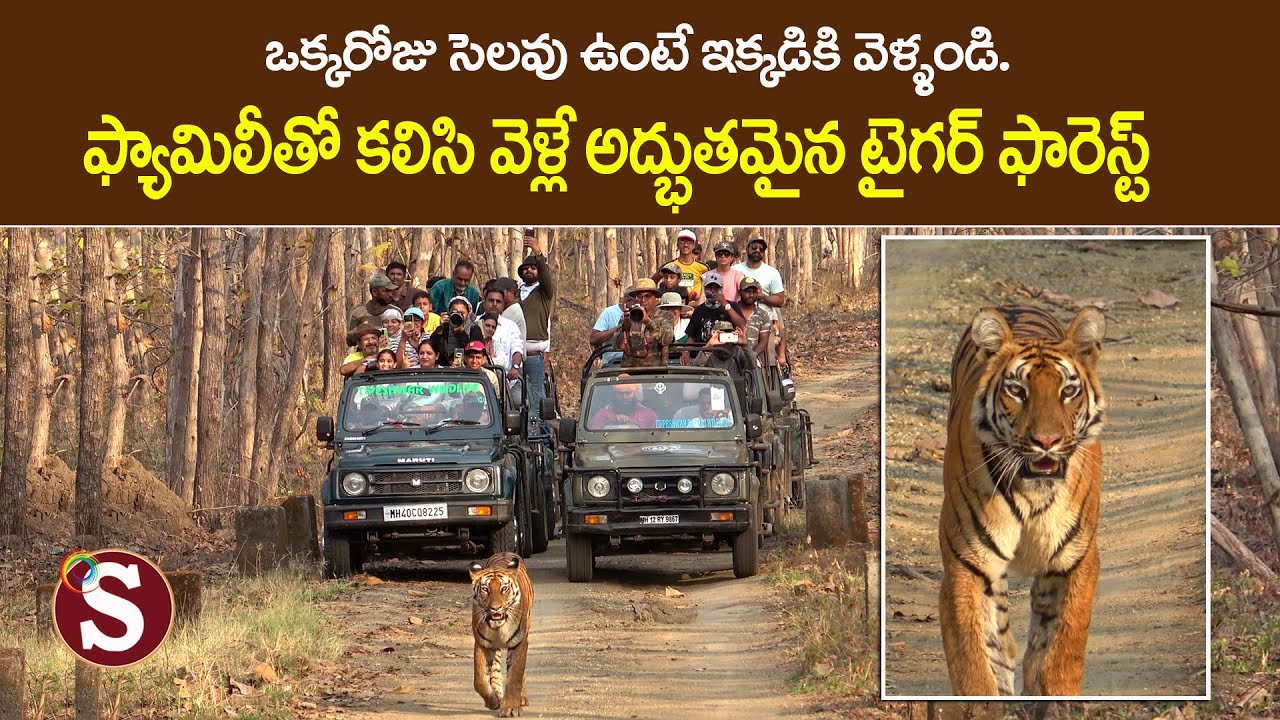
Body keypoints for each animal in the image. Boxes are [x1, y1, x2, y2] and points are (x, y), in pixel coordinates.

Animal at [470, 552, 534, 717]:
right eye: (485, 589)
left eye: (504, 588)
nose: (495, 608)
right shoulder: (482, 643)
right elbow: (479, 679)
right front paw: (492, 701)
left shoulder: (520, 642)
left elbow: (515, 675)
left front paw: (510, 707)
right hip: (495, 647)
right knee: (496, 670)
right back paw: (498, 694)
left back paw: (521, 698)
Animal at [939, 304, 1106, 696]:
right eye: (1017, 390)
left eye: (1068, 390)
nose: (1046, 441)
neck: (1033, 493)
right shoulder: (967, 565)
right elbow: (974, 668)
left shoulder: (1077, 560)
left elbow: (1061, 655)